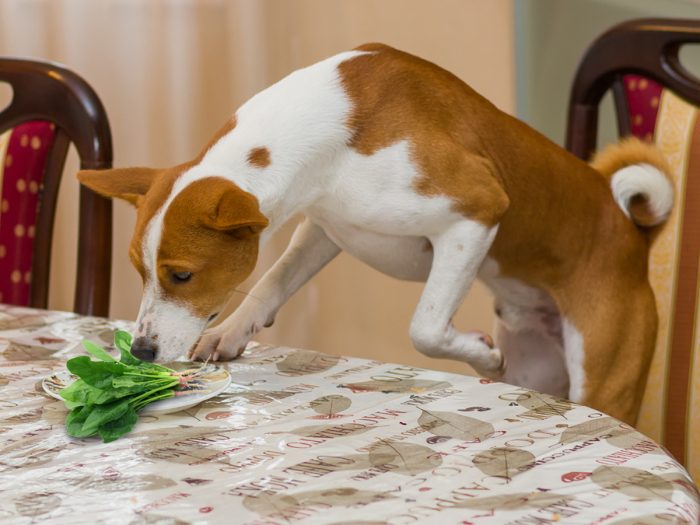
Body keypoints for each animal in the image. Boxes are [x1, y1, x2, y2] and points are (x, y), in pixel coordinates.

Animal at [79, 43, 676, 424]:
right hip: (539, 369)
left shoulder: (476, 212)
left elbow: (426, 327)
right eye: (140, 271)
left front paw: (478, 355)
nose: (143, 350)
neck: (335, 127)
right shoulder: (325, 227)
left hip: (603, 379)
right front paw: (230, 331)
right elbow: (270, 283)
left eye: (181, 275)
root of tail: (633, 235)